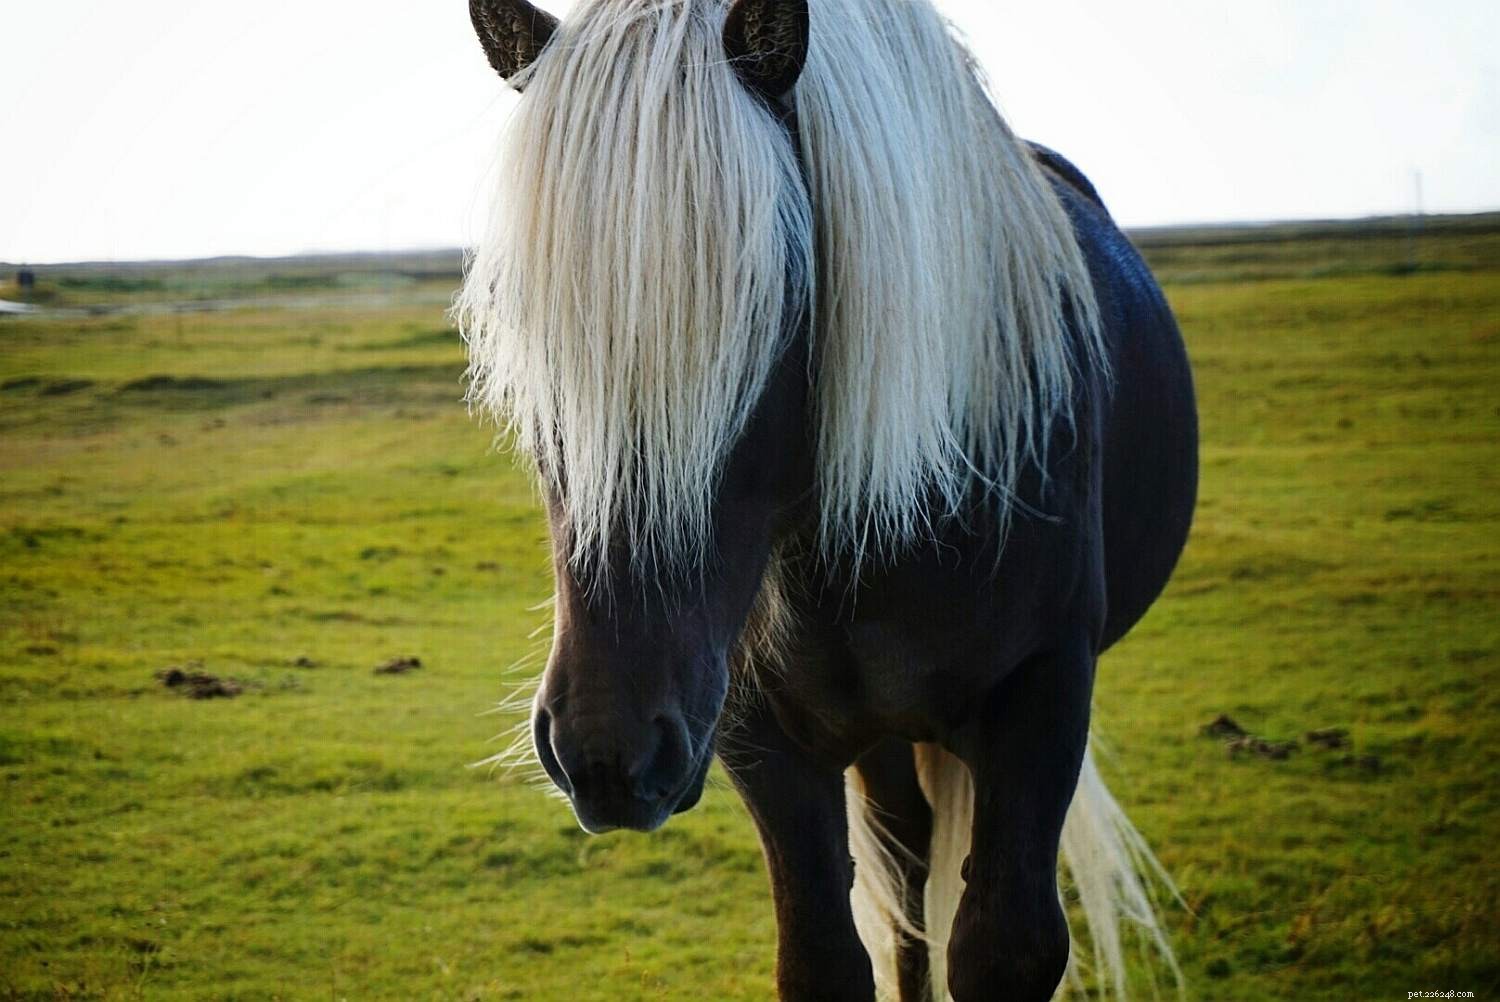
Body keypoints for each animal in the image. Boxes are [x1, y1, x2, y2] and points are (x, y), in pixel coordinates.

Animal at [457, 0, 1198, 999]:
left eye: (775, 299)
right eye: (512, 308)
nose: (607, 749)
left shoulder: (1043, 690)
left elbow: (1005, 946)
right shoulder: (757, 730)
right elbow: (824, 955)